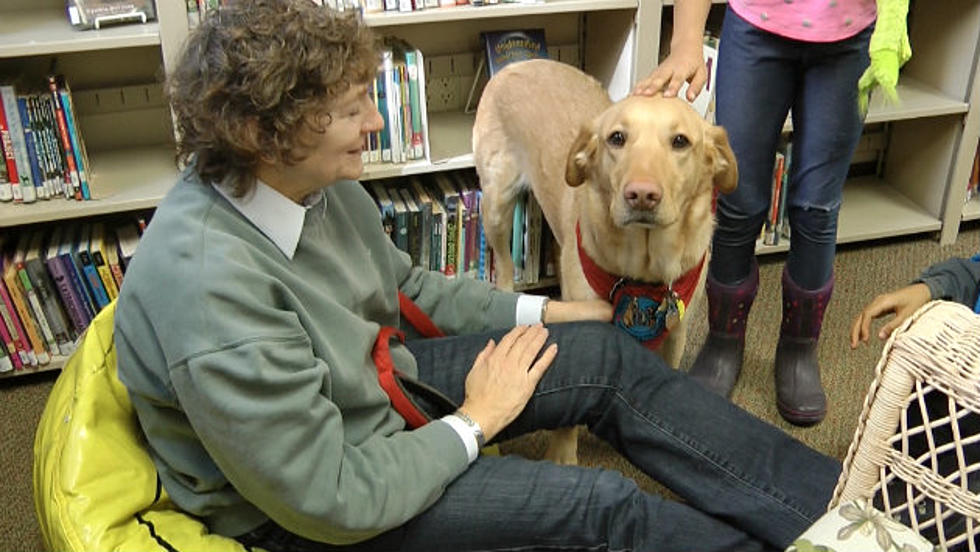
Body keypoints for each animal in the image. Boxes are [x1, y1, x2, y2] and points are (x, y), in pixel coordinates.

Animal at [472, 59, 736, 466]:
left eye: (680, 142)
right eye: (617, 138)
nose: (641, 194)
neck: (644, 267)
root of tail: (519, 62)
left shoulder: (677, 331)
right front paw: (562, 453)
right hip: (496, 205)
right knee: (501, 264)